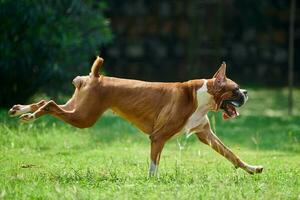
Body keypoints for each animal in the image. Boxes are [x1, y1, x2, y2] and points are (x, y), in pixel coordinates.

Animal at [8, 56, 262, 177]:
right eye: (235, 89)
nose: (247, 92)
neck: (201, 97)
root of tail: (94, 76)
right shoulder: (158, 138)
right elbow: (154, 165)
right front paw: (153, 183)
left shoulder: (206, 135)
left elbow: (232, 155)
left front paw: (252, 168)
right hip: (83, 118)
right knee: (49, 104)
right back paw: (29, 116)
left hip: (77, 109)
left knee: (44, 101)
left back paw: (20, 110)